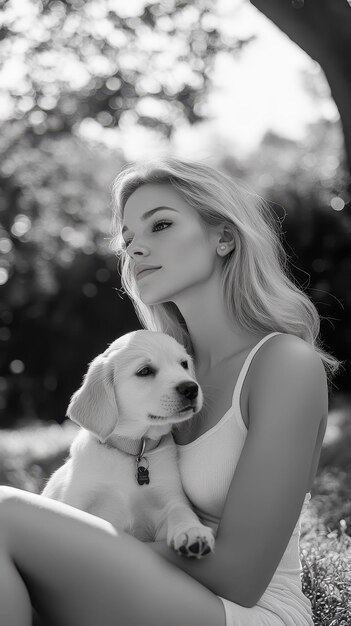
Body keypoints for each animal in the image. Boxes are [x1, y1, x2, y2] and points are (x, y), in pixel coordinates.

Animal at [42, 330, 216, 560]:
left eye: (184, 364)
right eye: (145, 371)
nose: (190, 388)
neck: (134, 450)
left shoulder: (169, 497)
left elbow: (180, 510)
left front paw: (193, 532)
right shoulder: (77, 498)